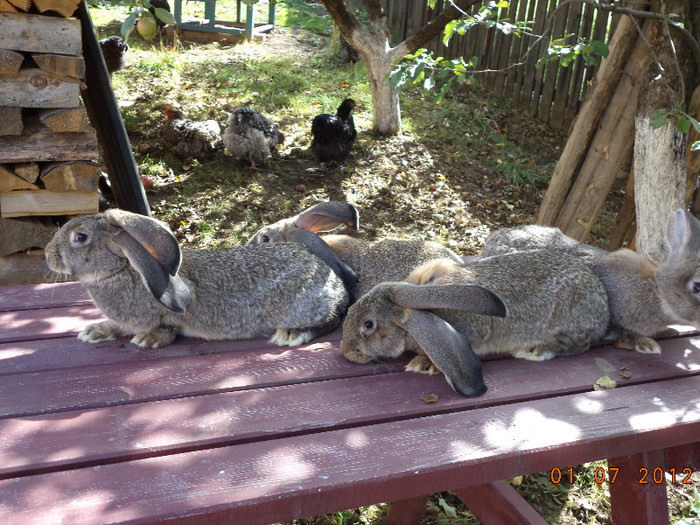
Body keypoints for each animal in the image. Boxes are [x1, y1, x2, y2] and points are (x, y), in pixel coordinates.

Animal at [43, 208, 350, 348]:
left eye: (80, 237)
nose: (47, 256)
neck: (123, 269)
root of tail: (336, 284)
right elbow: (117, 327)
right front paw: (94, 332)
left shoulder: (169, 316)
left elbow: (167, 328)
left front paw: (148, 340)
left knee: (332, 319)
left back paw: (291, 334)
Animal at [340, 250, 608, 398]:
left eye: (368, 325)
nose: (346, 353)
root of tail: (603, 308)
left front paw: (423, 364)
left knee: (578, 345)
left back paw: (535, 350)